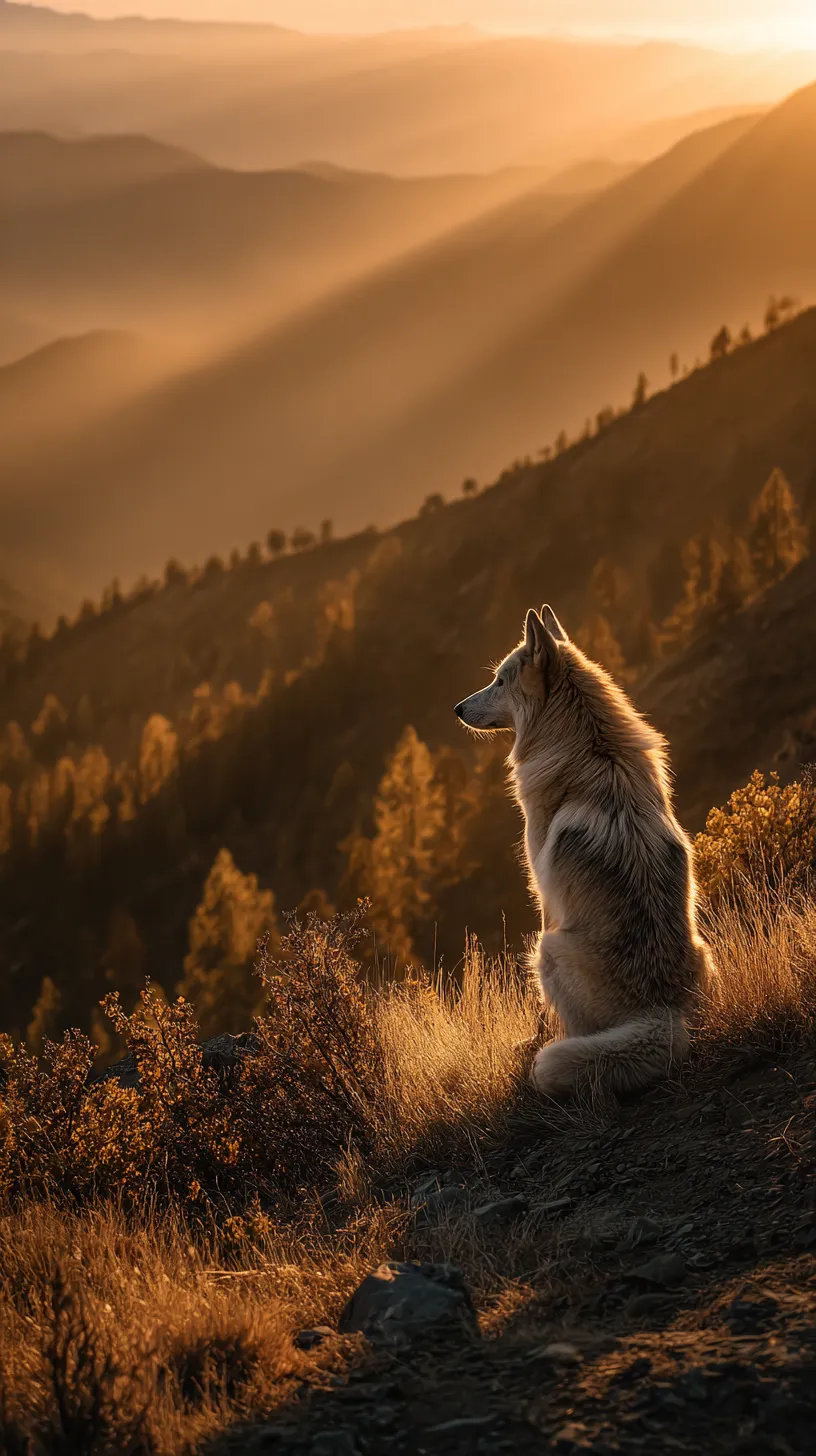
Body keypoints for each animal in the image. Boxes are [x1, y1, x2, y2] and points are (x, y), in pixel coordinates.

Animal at [455, 605, 714, 1099]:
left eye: (499, 680)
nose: (456, 708)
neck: (592, 744)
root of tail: (663, 1011)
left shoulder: (544, 895)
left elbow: (538, 1010)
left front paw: (529, 1040)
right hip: (704, 949)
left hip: (548, 949)